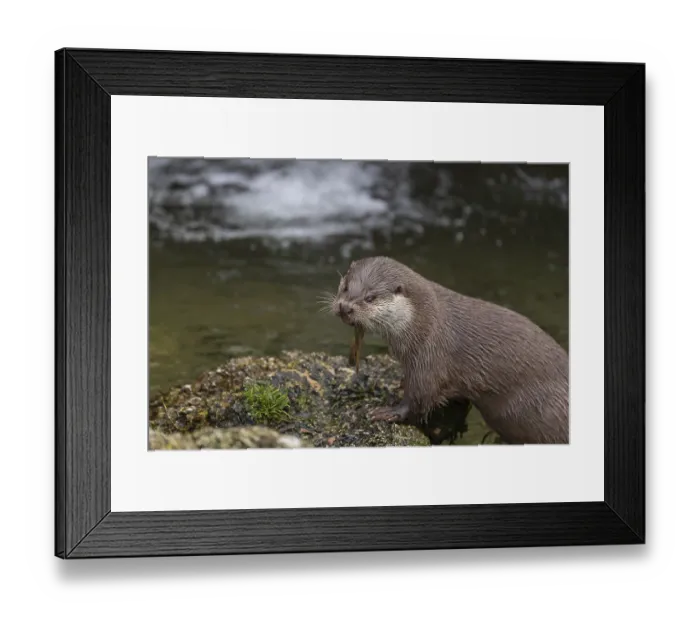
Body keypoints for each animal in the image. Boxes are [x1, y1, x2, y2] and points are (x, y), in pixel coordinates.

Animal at [331, 256, 569, 445]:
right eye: (345, 287)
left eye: (370, 298)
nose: (345, 307)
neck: (424, 321)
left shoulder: (431, 355)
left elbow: (420, 398)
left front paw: (388, 412)